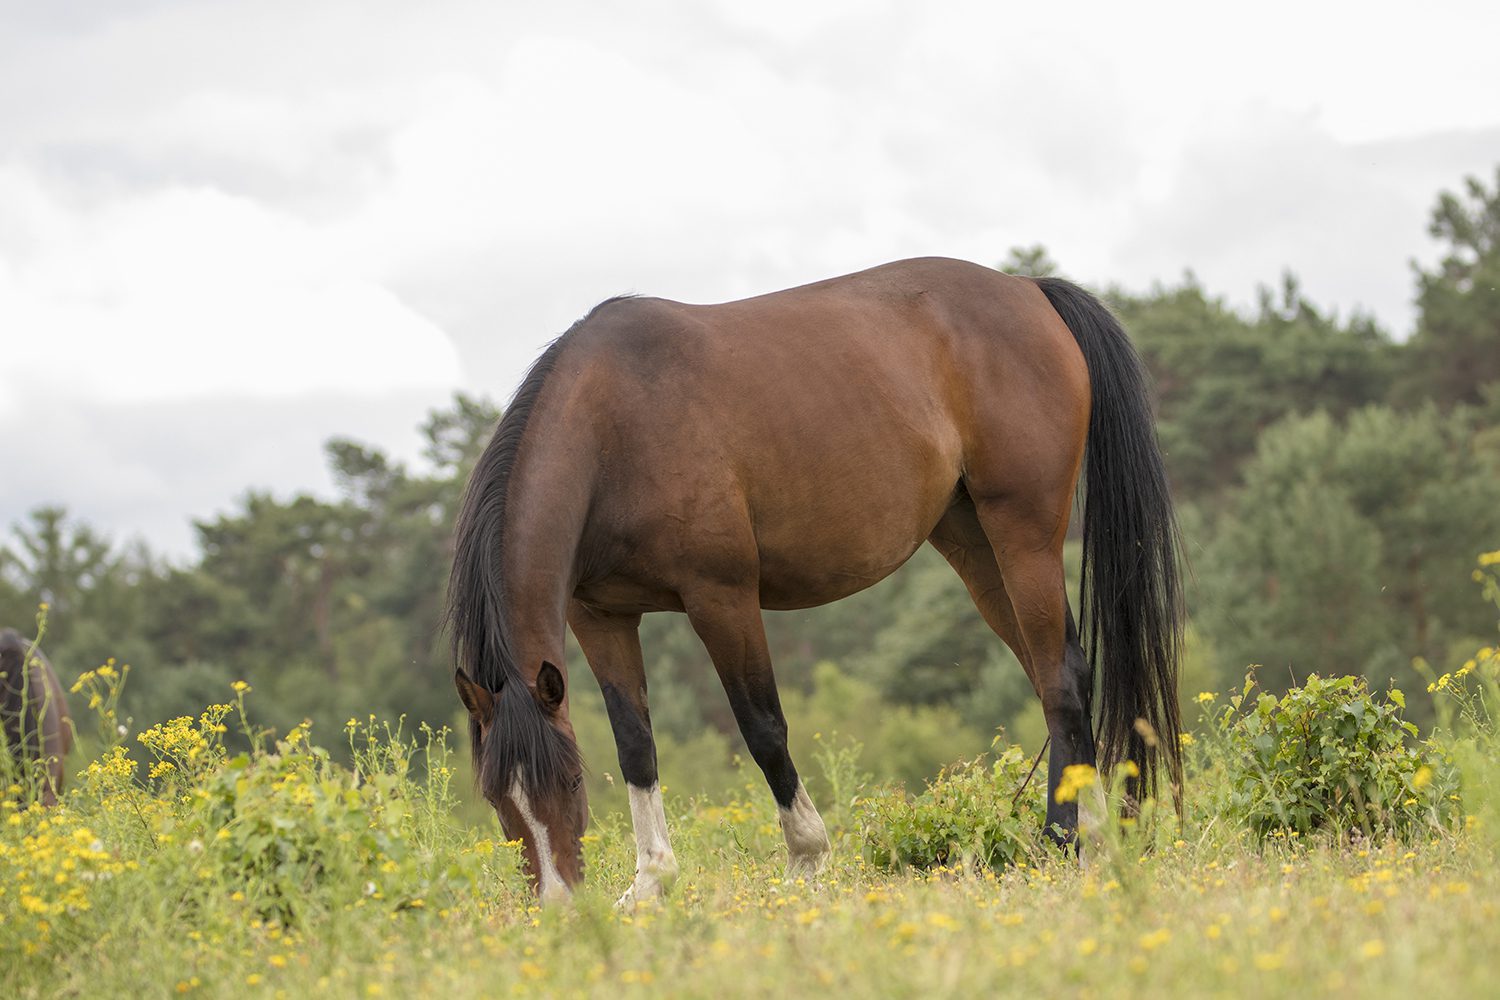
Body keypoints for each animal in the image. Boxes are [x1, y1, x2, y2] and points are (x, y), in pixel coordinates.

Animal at [444, 260, 1182, 905]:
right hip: (975, 546)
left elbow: (763, 727)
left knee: (1060, 680)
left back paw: (1064, 842)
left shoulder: (721, 597)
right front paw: (651, 882)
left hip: (1023, 537)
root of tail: (1028, 289)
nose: (560, 904)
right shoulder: (601, 617)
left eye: (569, 781)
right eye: (497, 799)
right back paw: (1089, 835)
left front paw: (807, 860)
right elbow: (636, 744)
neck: (613, 425)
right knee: (1058, 674)